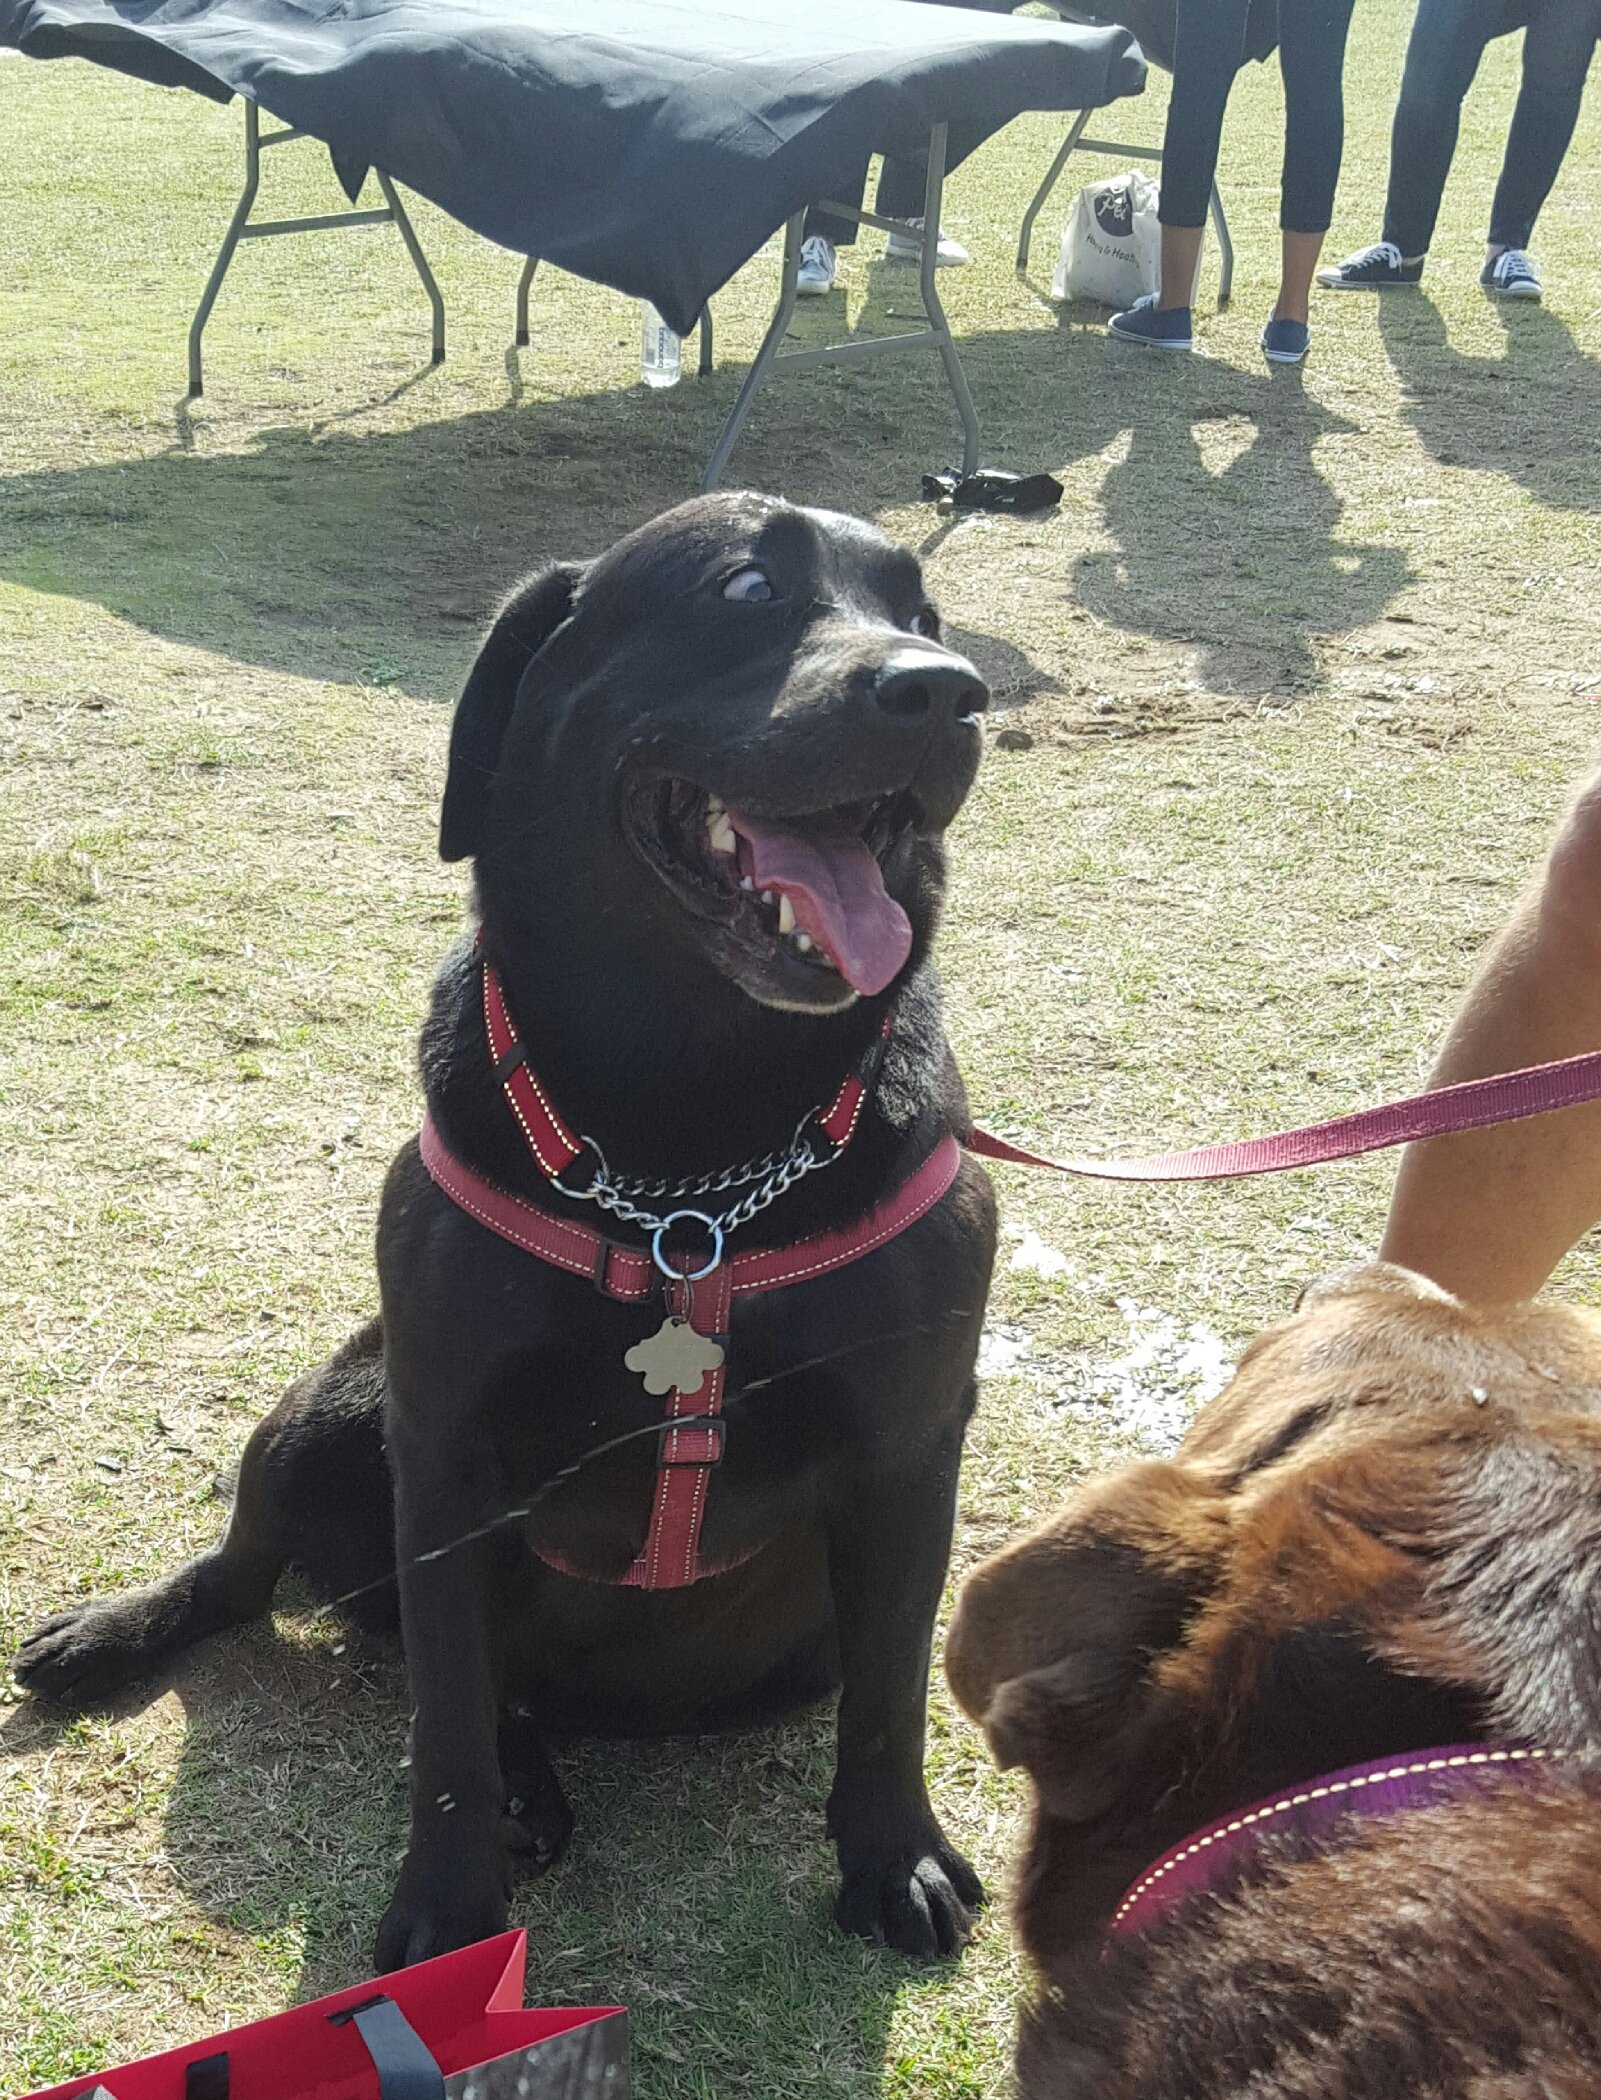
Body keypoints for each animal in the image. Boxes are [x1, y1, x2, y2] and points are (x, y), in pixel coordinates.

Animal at [18, 491, 1000, 1965]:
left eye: (922, 613)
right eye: (747, 587)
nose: (946, 690)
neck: (687, 1175)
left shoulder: (908, 1450)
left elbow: (887, 1694)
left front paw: (896, 1858)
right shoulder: (443, 1451)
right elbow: (444, 1727)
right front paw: (446, 1907)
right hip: (329, 1407)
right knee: (268, 1585)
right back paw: (119, 1636)